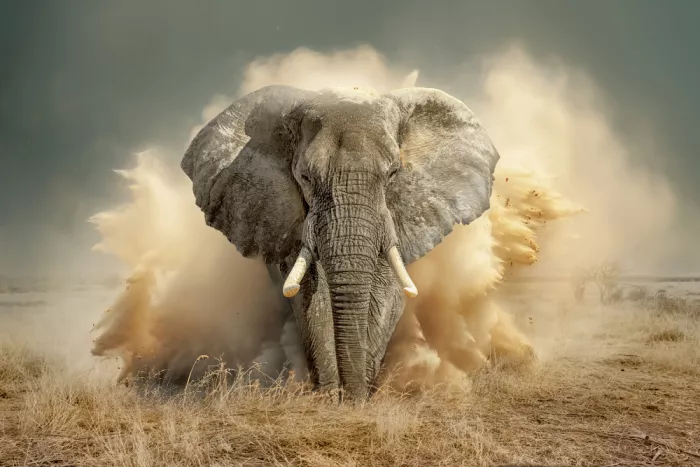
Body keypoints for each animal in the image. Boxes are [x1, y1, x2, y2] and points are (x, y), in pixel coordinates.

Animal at [180, 84, 500, 401]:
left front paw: (356, 398)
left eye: (393, 173)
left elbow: (386, 293)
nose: (349, 395)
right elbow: (309, 296)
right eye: (305, 177)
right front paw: (330, 397)